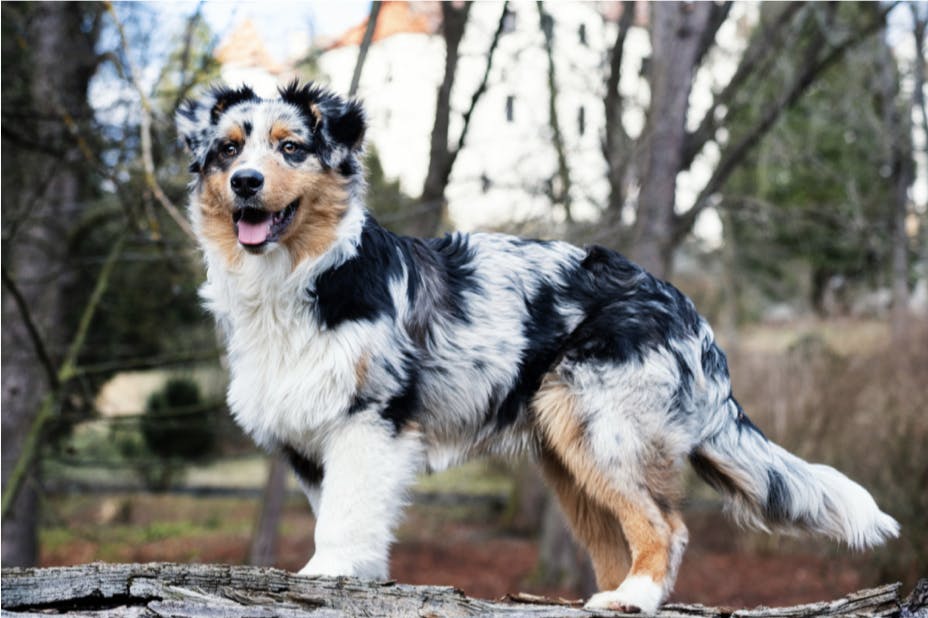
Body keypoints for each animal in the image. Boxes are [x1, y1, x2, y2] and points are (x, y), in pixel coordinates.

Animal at [176, 83, 900, 612]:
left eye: (292, 148)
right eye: (229, 149)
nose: (245, 182)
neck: (302, 276)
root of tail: (687, 309)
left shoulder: (369, 418)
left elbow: (343, 517)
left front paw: (326, 575)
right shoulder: (310, 436)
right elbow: (350, 515)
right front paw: (361, 579)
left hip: (602, 426)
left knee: (666, 526)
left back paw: (633, 598)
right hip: (569, 454)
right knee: (621, 541)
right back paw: (612, 596)